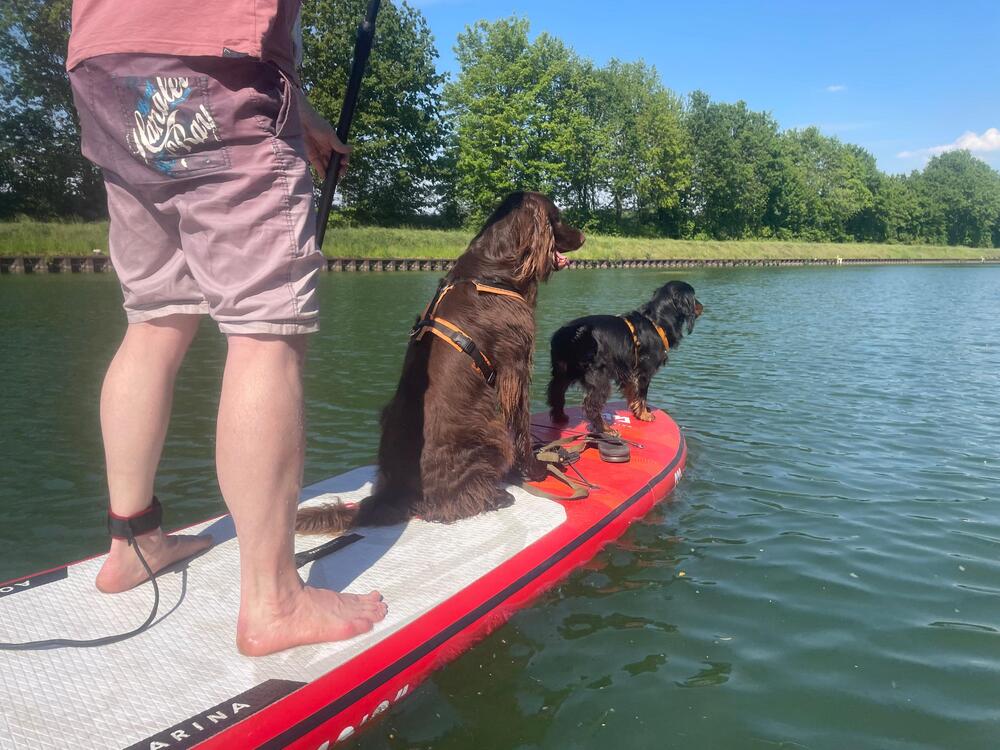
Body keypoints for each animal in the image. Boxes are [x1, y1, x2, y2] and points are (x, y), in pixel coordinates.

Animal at [292, 194, 584, 536]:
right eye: (558, 217)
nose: (583, 237)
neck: (492, 272)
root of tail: (393, 493)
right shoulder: (516, 366)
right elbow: (521, 424)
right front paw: (534, 469)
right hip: (490, 431)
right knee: (446, 507)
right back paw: (496, 496)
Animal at [548, 282, 704, 434]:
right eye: (694, 297)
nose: (702, 307)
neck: (656, 321)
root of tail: (572, 333)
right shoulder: (644, 371)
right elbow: (641, 394)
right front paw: (644, 415)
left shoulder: (629, 371)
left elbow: (633, 392)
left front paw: (638, 411)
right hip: (599, 378)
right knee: (591, 405)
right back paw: (604, 428)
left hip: (563, 373)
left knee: (556, 394)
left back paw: (560, 417)